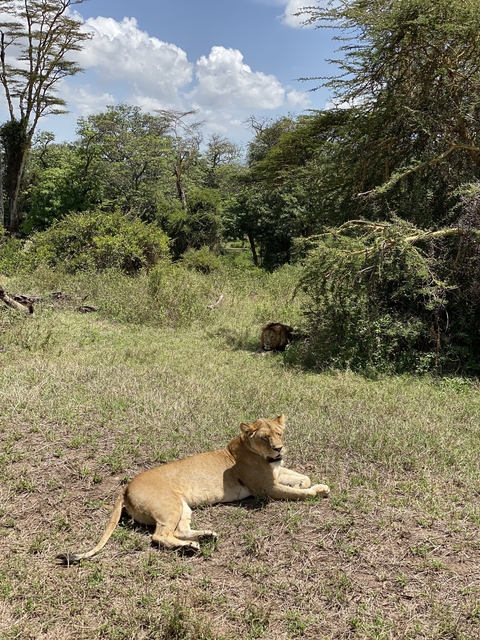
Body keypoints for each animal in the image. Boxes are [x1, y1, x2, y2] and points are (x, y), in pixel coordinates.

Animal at [58, 415, 329, 563]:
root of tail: (125, 487)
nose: (279, 448)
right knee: (160, 536)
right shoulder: (266, 488)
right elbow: (296, 493)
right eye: (265, 438)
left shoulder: (276, 473)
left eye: (280, 433)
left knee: (177, 531)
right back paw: (191, 547)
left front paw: (310, 483)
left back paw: (205, 537)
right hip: (169, 506)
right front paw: (316, 491)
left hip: (182, 507)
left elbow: (298, 476)